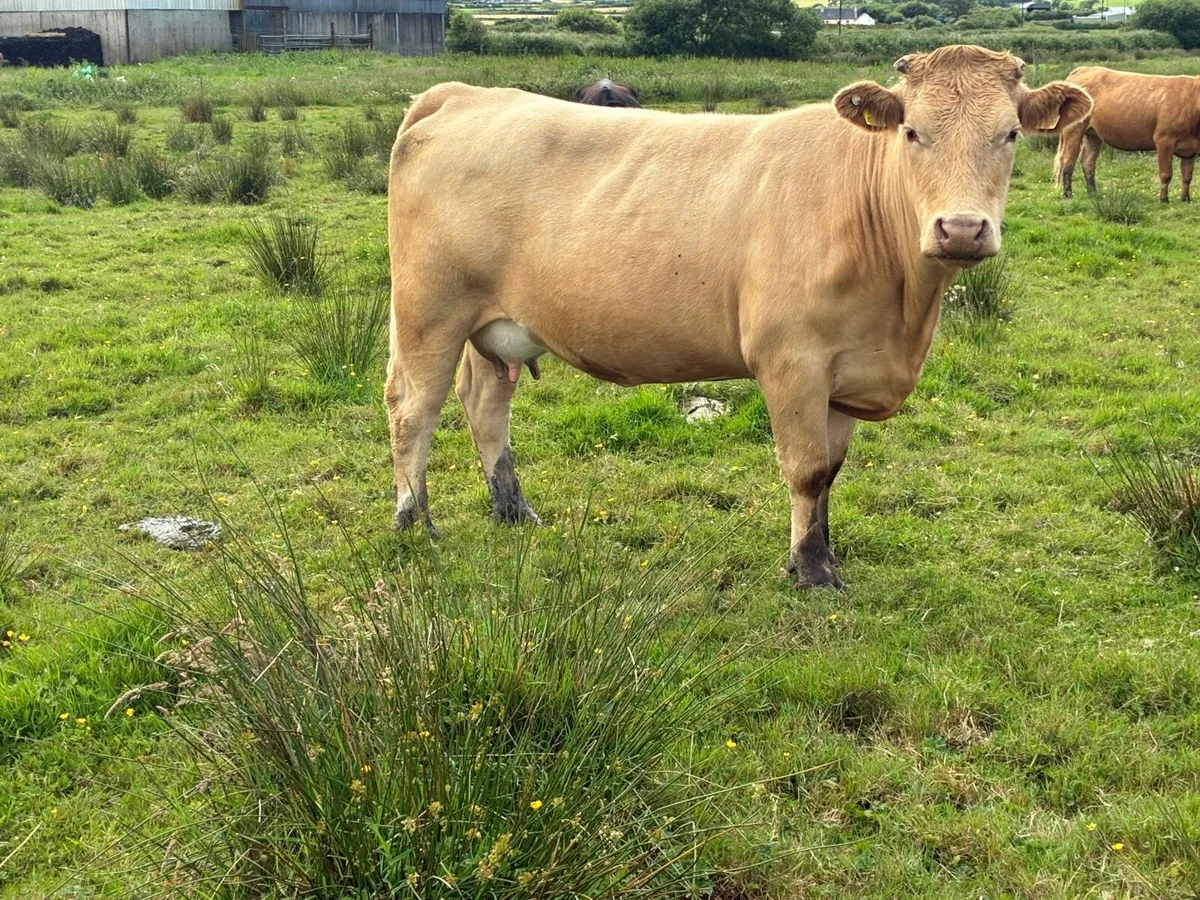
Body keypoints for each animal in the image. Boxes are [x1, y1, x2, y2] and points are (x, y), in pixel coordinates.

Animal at [384, 45, 1091, 588]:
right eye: (912, 132)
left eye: (1010, 134)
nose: (962, 228)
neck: (903, 314)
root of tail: (465, 94)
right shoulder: (792, 361)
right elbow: (805, 469)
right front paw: (811, 571)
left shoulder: (845, 372)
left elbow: (829, 474)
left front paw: (821, 553)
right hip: (429, 309)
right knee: (413, 407)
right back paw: (415, 520)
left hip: (493, 326)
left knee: (484, 406)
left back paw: (514, 511)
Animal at [1055, 66, 1200, 202]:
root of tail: (1084, 69)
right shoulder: (1164, 140)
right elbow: (1166, 174)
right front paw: (1164, 199)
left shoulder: (1191, 148)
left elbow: (1187, 176)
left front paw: (1185, 199)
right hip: (1074, 129)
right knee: (1068, 161)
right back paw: (1068, 195)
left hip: (1093, 134)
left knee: (1088, 162)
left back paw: (1093, 194)